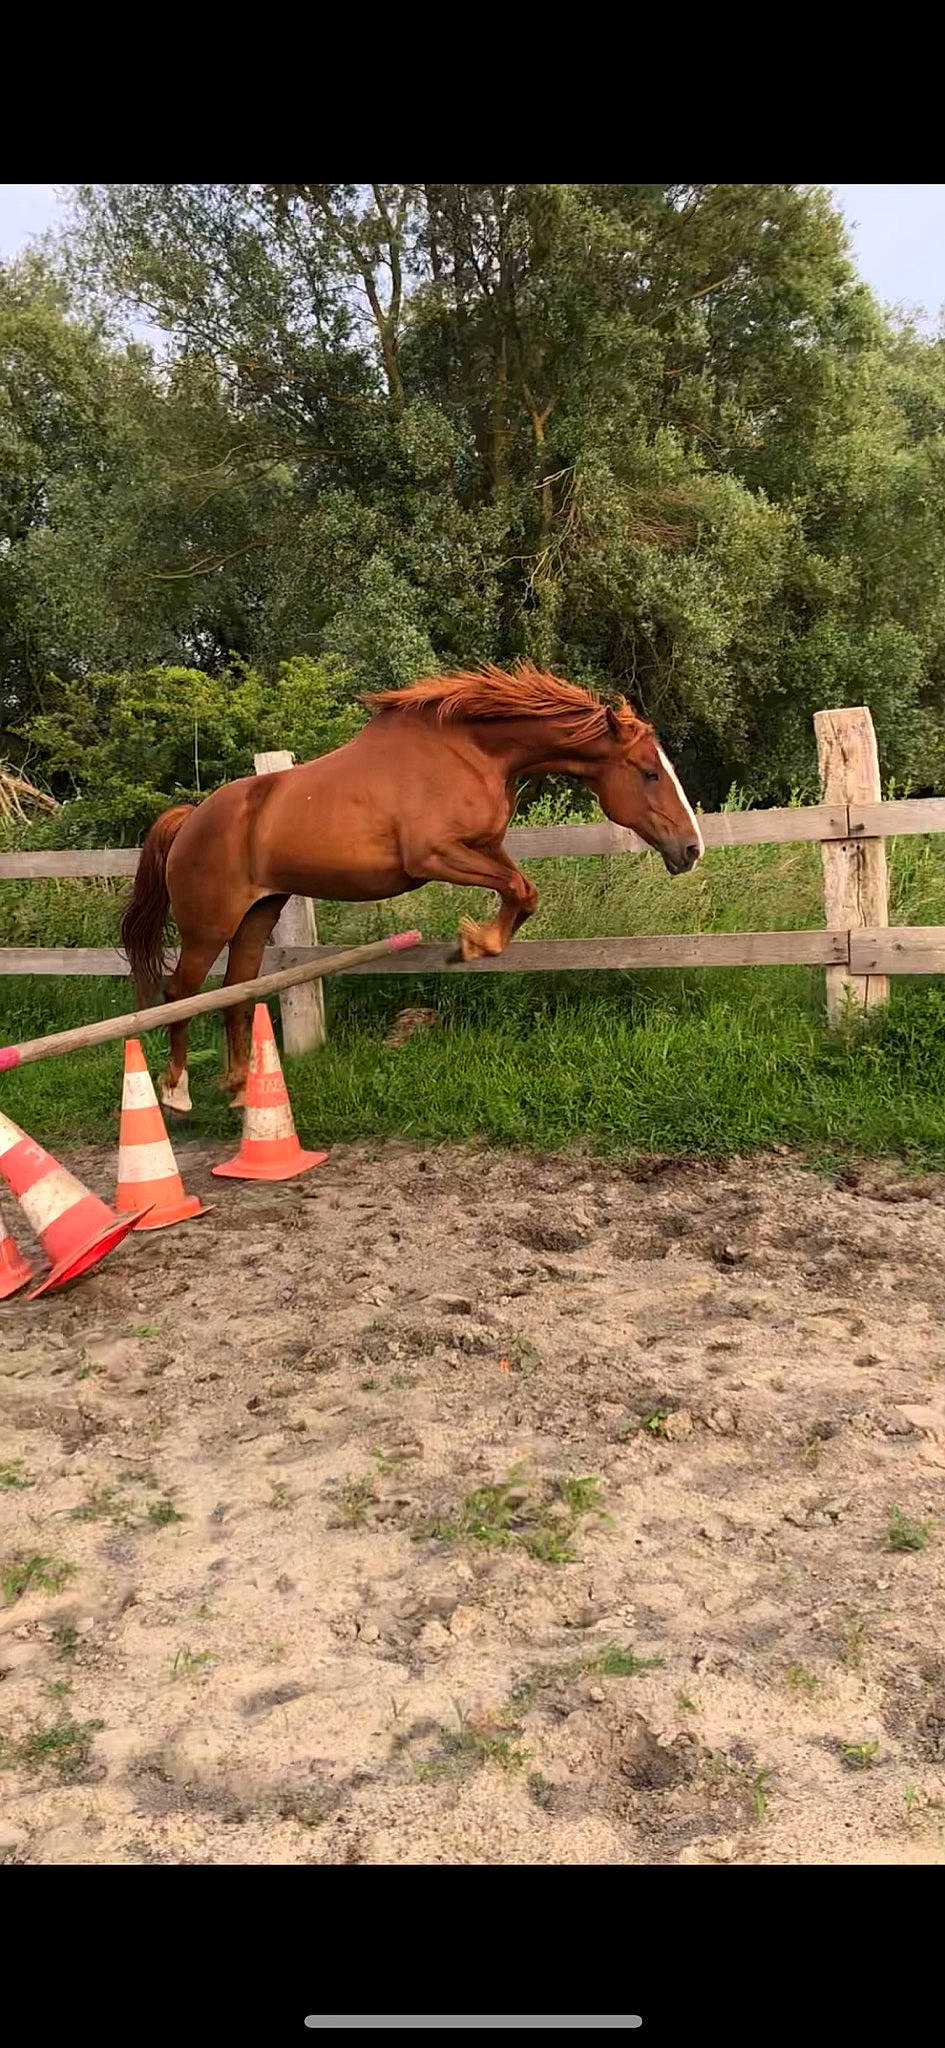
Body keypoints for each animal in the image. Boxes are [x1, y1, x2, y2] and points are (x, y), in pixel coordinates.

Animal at [120, 663, 704, 1113]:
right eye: (649, 772)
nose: (692, 849)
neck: (473, 751)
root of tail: (191, 819)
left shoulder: (484, 846)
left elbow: (524, 890)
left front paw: (477, 943)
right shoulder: (433, 856)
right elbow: (518, 890)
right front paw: (472, 944)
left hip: (257, 916)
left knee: (235, 995)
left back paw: (243, 1090)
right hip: (208, 925)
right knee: (180, 993)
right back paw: (176, 1092)